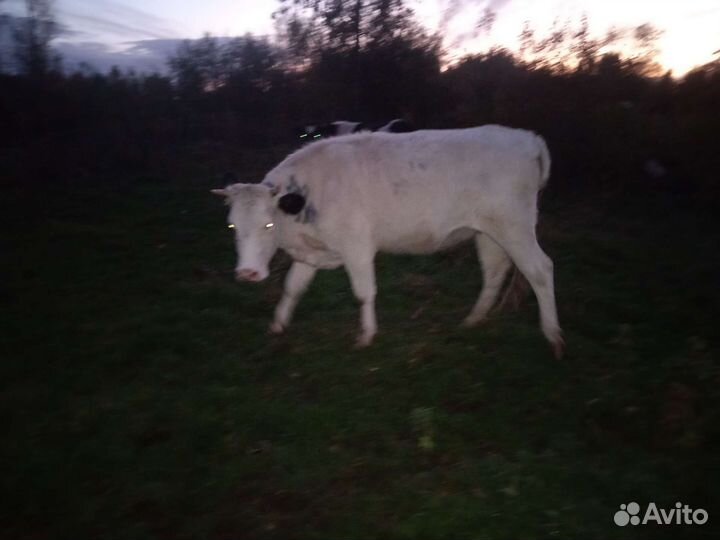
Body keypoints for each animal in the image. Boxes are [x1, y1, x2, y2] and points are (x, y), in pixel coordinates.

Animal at [212, 125, 563, 357]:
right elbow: (292, 287)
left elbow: (364, 293)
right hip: (488, 232)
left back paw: (553, 336)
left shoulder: (356, 247)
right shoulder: (310, 252)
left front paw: (366, 335)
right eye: (231, 225)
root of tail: (526, 138)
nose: (247, 274)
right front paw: (278, 324)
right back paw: (473, 319)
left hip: (514, 226)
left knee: (540, 269)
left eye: (268, 224)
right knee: (494, 271)